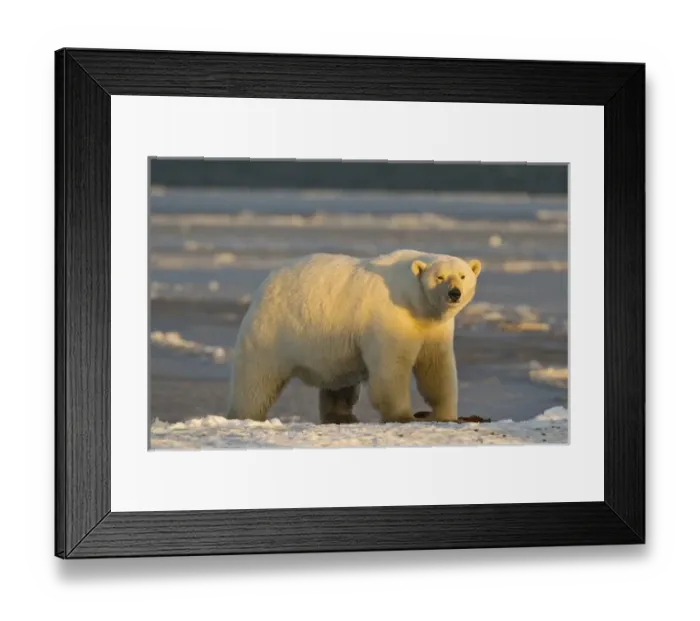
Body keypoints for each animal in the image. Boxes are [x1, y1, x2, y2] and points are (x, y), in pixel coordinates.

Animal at [225, 249, 482, 425]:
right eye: (440, 277)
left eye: (462, 276)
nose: (454, 293)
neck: (414, 302)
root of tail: (267, 282)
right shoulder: (390, 318)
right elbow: (392, 369)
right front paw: (403, 415)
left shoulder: (434, 328)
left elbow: (436, 368)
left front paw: (446, 414)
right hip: (273, 328)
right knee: (257, 378)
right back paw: (244, 414)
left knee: (340, 382)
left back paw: (342, 416)